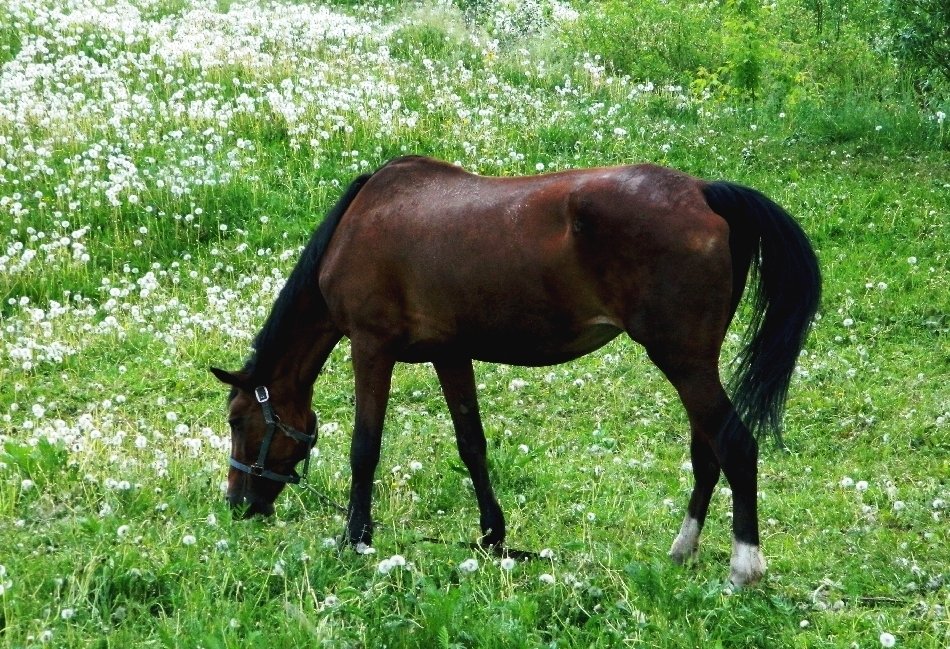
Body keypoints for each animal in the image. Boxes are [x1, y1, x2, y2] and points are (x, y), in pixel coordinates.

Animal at [212, 154, 820, 584]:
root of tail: (702, 191)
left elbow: (366, 447)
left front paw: (356, 537)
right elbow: (472, 445)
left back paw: (744, 567)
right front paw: (492, 537)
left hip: (683, 362)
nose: (238, 504)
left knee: (734, 445)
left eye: (238, 421)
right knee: (706, 452)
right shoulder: (450, 353)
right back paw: (682, 550)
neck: (362, 220)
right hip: (693, 363)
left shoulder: (371, 348)